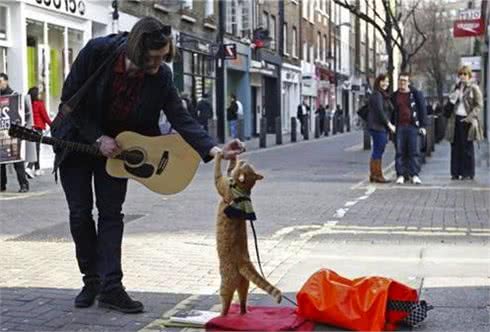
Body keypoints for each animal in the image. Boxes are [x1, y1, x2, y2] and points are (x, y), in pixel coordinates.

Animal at [212, 152, 282, 316]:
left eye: (244, 164)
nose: (242, 158)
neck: (242, 190)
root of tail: (243, 261)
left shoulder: (221, 184)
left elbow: (217, 172)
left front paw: (219, 154)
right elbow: (229, 169)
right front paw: (231, 155)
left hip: (226, 283)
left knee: (226, 302)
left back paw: (222, 315)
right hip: (244, 284)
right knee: (243, 300)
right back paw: (243, 312)